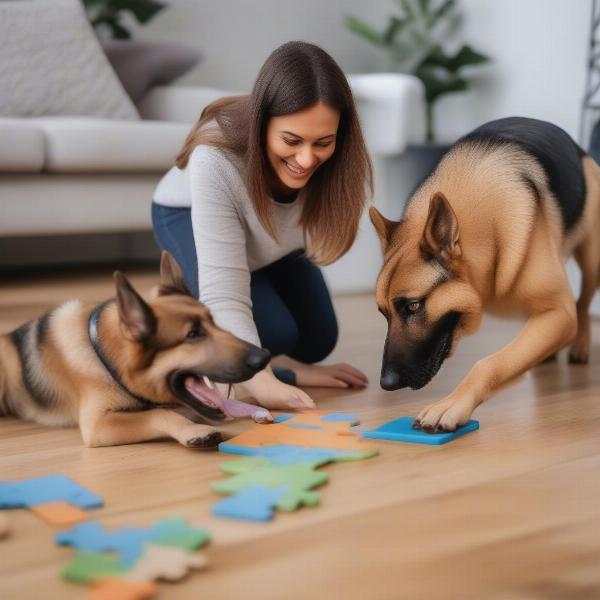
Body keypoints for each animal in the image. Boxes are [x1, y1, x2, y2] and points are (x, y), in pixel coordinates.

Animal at [0, 251, 272, 448]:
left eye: (214, 323)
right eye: (193, 335)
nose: (265, 357)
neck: (106, 354)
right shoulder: (99, 425)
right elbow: (161, 414)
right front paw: (194, 429)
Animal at [370, 117, 600, 434]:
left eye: (413, 306)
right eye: (383, 314)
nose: (386, 383)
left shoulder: (559, 313)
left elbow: (489, 363)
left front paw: (450, 405)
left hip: (592, 259)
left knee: (583, 301)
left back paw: (579, 344)